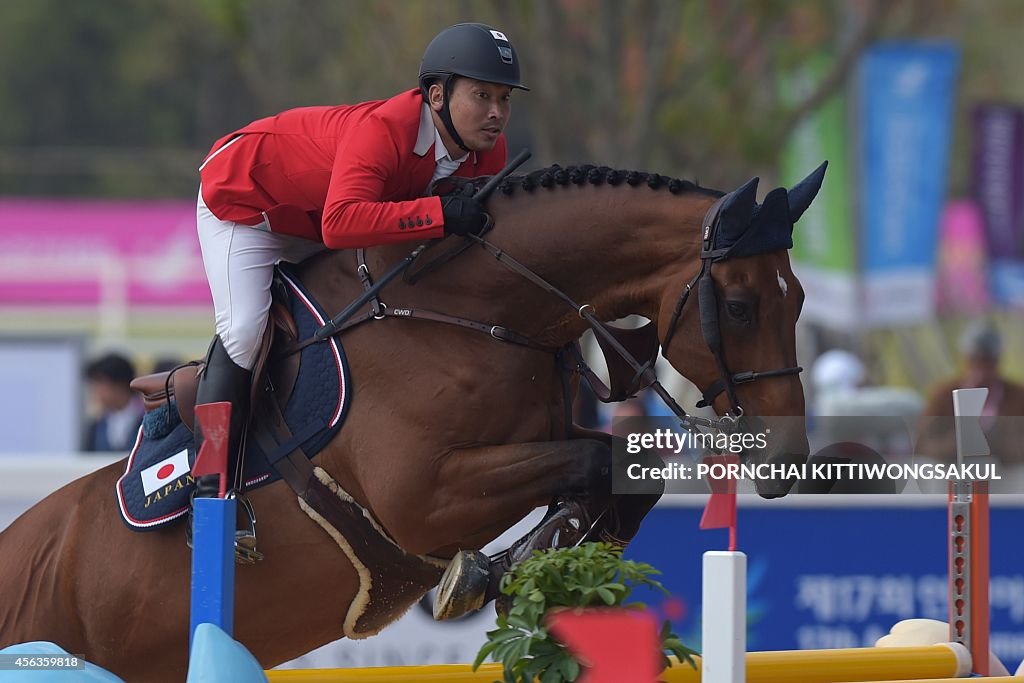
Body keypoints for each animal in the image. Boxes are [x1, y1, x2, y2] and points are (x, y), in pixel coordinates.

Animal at [0, 160, 819, 679]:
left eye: (801, 300)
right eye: (738, 307)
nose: (784, 461)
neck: (472, 314)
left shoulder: (540, 437)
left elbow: (625, 472)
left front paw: (548, 562)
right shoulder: (424, 496)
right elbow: (593, 465)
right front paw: (491, 571)